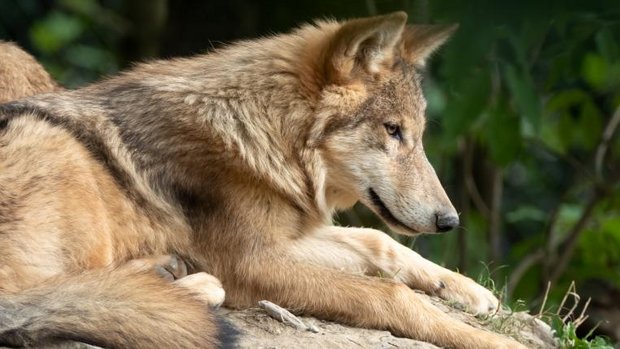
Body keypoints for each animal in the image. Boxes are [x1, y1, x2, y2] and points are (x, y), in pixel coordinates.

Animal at [0, 12, 524, 346]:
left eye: (417, 135)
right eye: (392, 131)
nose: (450, 221)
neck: (261, 138)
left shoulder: (284, 237)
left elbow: (379, 243)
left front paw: (472, 292)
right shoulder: (251, 263)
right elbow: (388, 294)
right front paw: (496, 342)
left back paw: (166, 273)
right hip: (56, 145)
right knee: (42, 298)